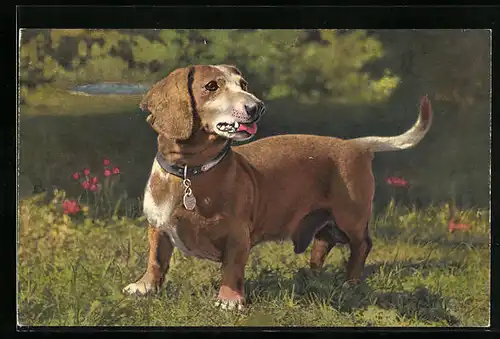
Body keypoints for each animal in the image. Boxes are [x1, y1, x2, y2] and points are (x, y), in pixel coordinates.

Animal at [122, 63, 434, 310]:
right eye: (211, 86)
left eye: (243, 85)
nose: (256, 107)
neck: (190, 171)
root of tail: (355, 145)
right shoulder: (158, 227)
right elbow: (156, 260)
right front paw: (144, 287)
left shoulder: (237, 235)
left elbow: (232, 267)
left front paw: (229, 300)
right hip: (328, 221)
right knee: (324, 241)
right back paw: (312, 275)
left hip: (350, 218)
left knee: (362, 245)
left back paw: (351, 282)